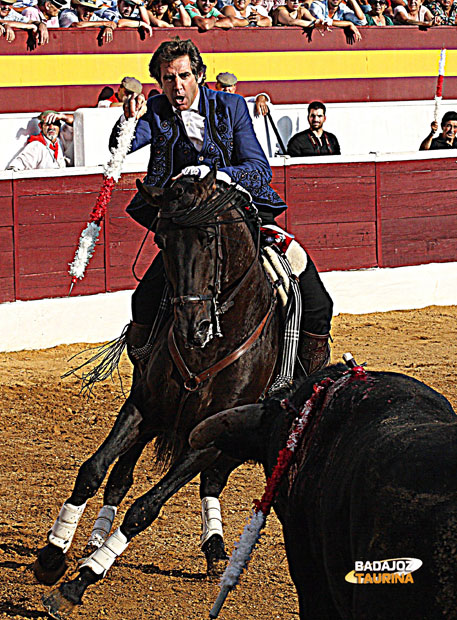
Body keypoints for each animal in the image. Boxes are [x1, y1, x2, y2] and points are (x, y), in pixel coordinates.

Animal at [34, 168, 282, 616]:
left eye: (207, 237)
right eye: (162, 241)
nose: (191, 327)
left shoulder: (205, 438)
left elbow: (145, 508)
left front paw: (79, 582)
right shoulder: (143, 407)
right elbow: (93, 471)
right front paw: (53, 554)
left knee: (211, 480)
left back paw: (215, 551)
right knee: (122, 475)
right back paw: (97, 537)